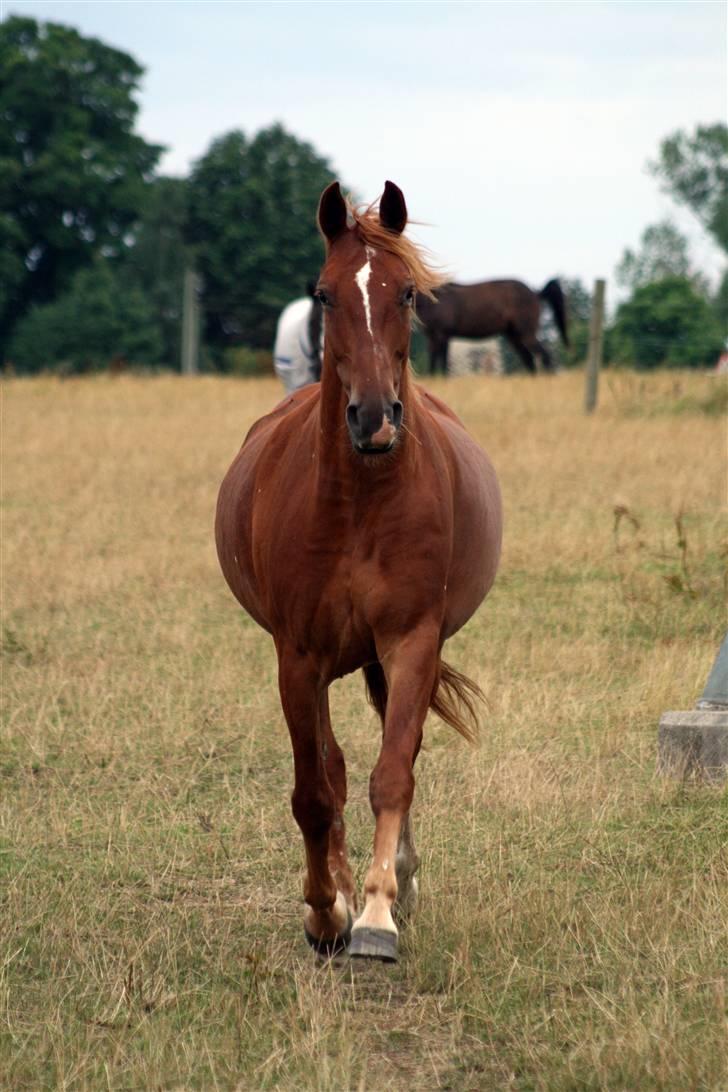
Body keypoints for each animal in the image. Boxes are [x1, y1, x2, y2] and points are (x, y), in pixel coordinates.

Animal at [213, 181, 504, 965]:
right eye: (324, 294)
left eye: (405, 292)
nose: (374, 417)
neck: (360, 503)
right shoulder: (298, 656)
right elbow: (316, 791)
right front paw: (326, 912)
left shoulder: (411, 641)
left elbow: (393, 771)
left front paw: (376, 913)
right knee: (334, 771)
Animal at [414, 275, 567, 373]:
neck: (431, 300)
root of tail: (535, 293)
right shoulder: (432, 338)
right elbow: (432, 362)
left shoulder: (443, 335)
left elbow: (443, 363)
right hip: (514, 336)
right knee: (529, 360)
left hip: (526, 333)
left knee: (544, 357)